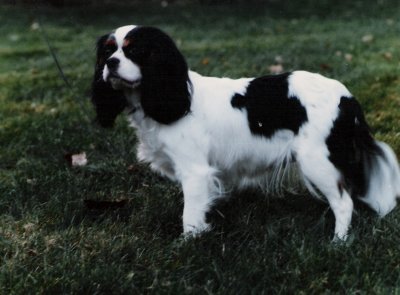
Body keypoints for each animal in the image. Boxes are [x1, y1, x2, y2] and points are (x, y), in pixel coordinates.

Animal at [91, 25, 400, 242]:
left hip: (318, 161)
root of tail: (347, 97)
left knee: (344, 202)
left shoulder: (194, 171)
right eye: (107, 52)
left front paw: (187, 243)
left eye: (134, 51)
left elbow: (189, 213)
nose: (111, 64)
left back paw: (338, 243)